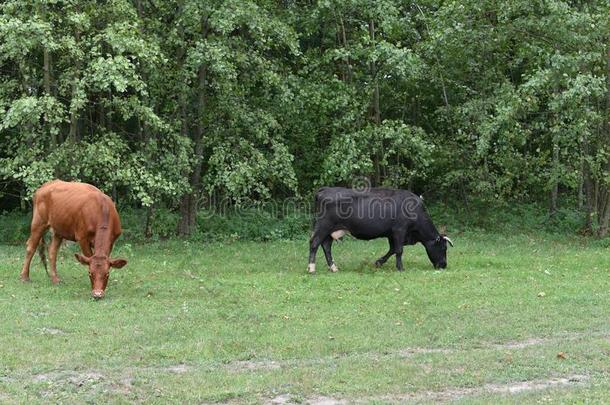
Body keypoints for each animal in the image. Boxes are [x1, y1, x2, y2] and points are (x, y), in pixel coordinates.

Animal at [306, 186, 448, 272]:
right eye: (443, 248)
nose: (444, 265)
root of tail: (325, 189)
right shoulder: (400, 230)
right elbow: (399, 250)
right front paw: (400, 268)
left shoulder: (391, 234)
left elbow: (392, 249)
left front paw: (379, 262)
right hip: (324, 226)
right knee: (314, 242)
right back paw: (312, 268)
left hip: (331, 230)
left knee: (326, 245)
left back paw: (333, 267)